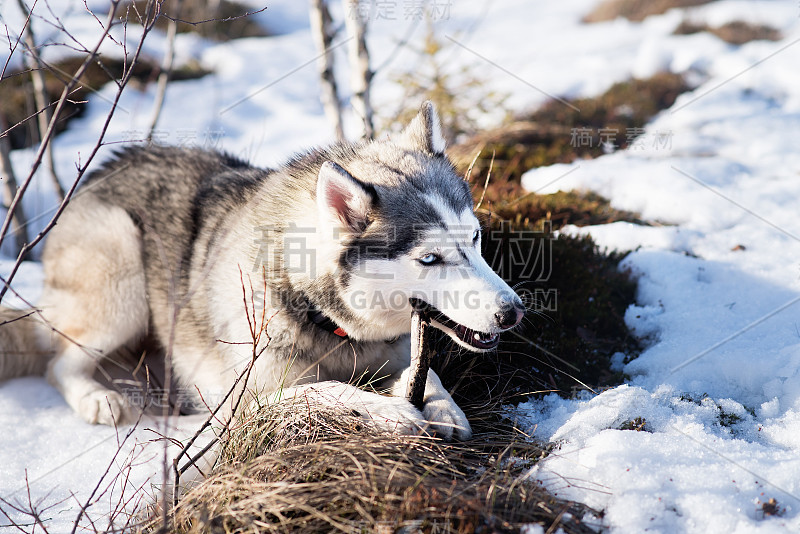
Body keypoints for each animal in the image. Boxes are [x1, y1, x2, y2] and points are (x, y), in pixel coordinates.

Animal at [0, 102, 524, 442]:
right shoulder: (245, 401)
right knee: (57, 363)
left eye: (475, 239)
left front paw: (443, 406)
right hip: (121, 278)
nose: (513, 312)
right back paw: (97, 397)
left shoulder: (393, 352)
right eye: (429, 259)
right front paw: (390, 411)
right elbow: (327, 390)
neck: (322, 317)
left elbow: (424, 371)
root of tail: (95, 175)